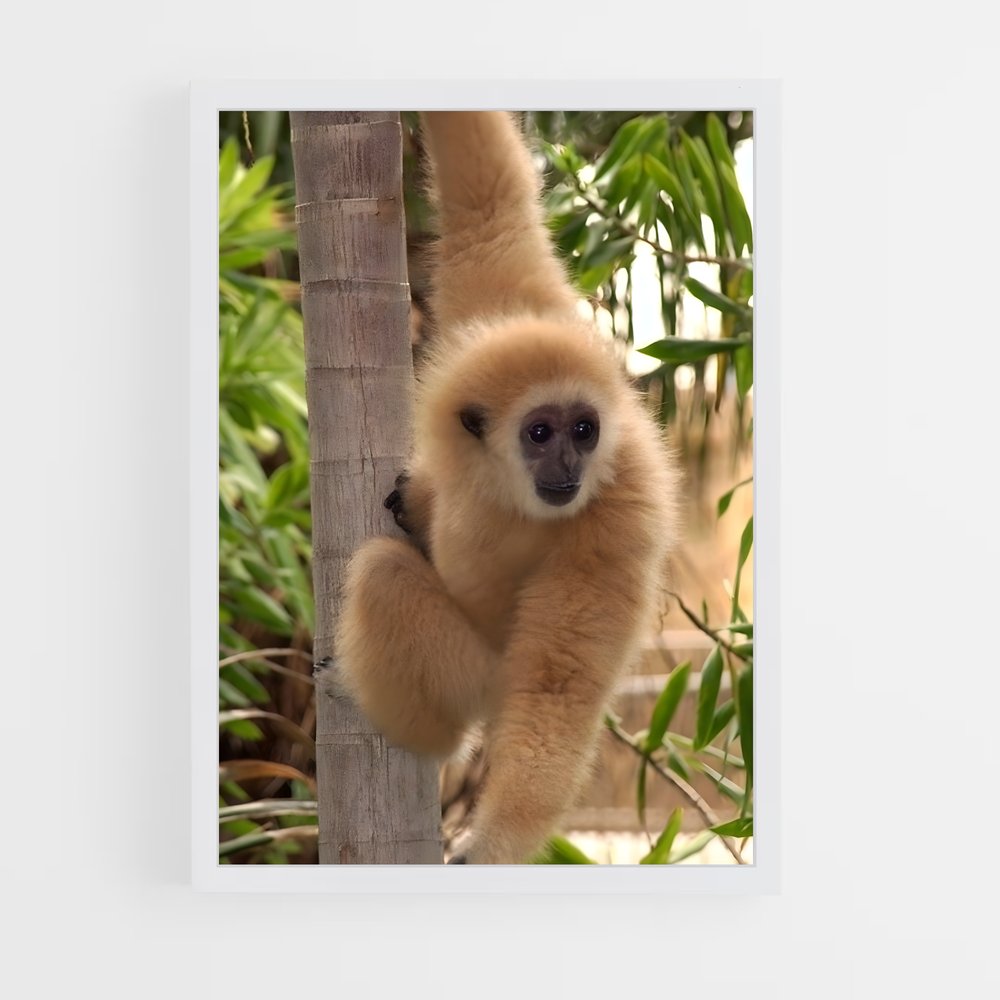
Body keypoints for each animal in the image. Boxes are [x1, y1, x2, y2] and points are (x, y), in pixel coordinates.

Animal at [331, 111, 679, 865]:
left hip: (482, 680)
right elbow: (489, 203)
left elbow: (557, 687)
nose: (569, 464)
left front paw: (491, 843)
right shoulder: (511, 308)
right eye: (541, 433)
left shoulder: (619, 515)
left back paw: (420, 734)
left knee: (380, 574)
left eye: (585, 429)